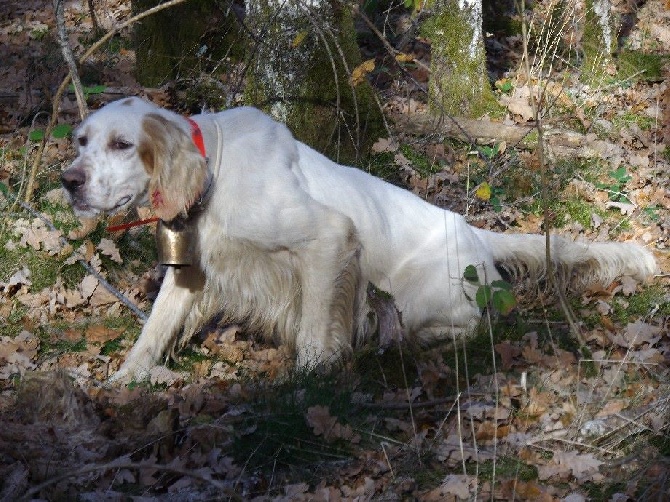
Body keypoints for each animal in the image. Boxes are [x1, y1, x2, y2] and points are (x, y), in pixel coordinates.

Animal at [63, 97, 660, 380]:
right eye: (82, 140)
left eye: (122, 144)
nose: (68, 181)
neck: (215, 172)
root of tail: (474, 231)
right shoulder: (193, 270)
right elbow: (154, 330)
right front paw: (126, 381)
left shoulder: (329, 240)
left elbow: (313, 334)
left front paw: (307, 381)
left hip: (420, 299)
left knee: (474, 328)